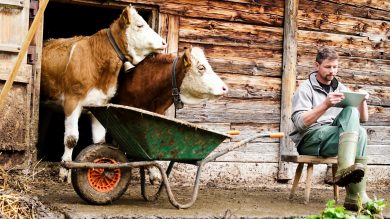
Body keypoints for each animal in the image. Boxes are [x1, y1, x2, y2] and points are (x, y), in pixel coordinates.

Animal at [41, 5, 166, 181]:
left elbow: (99, 141)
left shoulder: (100, 104)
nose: (163, 42)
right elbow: (71, 139)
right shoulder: (72, 101)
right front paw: (65, 171)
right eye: (140, 25)